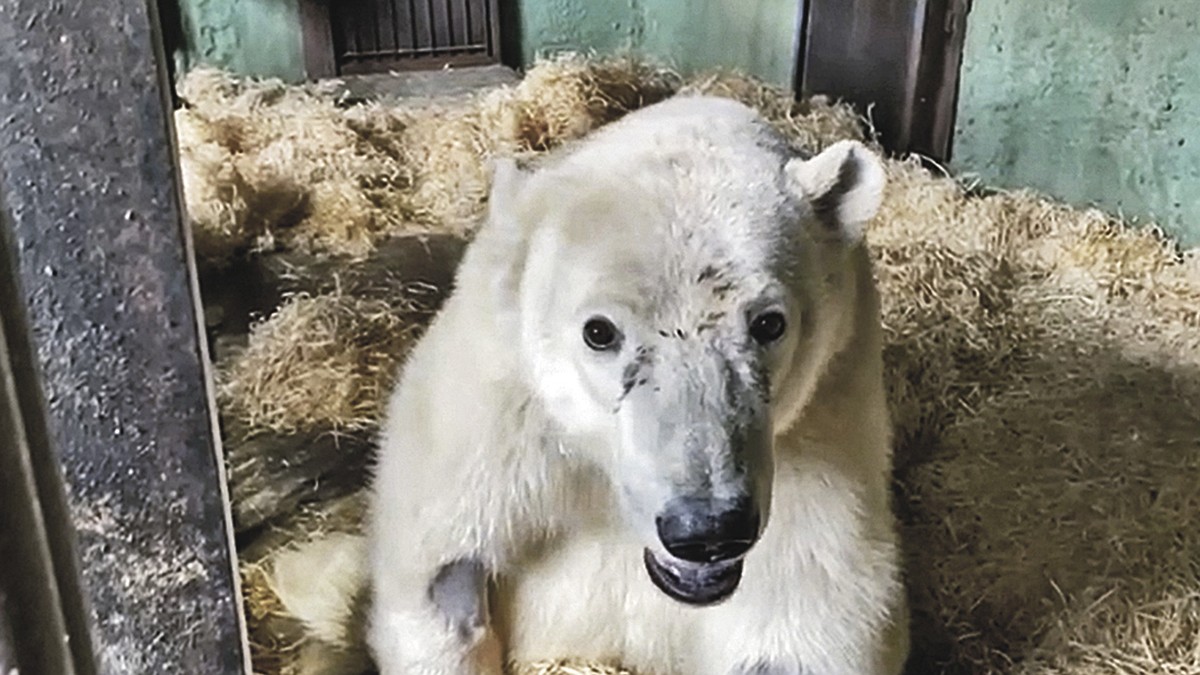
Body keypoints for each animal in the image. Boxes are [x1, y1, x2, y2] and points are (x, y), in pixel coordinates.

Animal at [312, 94, 907, 672]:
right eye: (599, 331)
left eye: (769, 323)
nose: (706, 530)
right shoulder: (494, 414)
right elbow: (439, 575)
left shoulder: (829, 430)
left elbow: (809, 618)